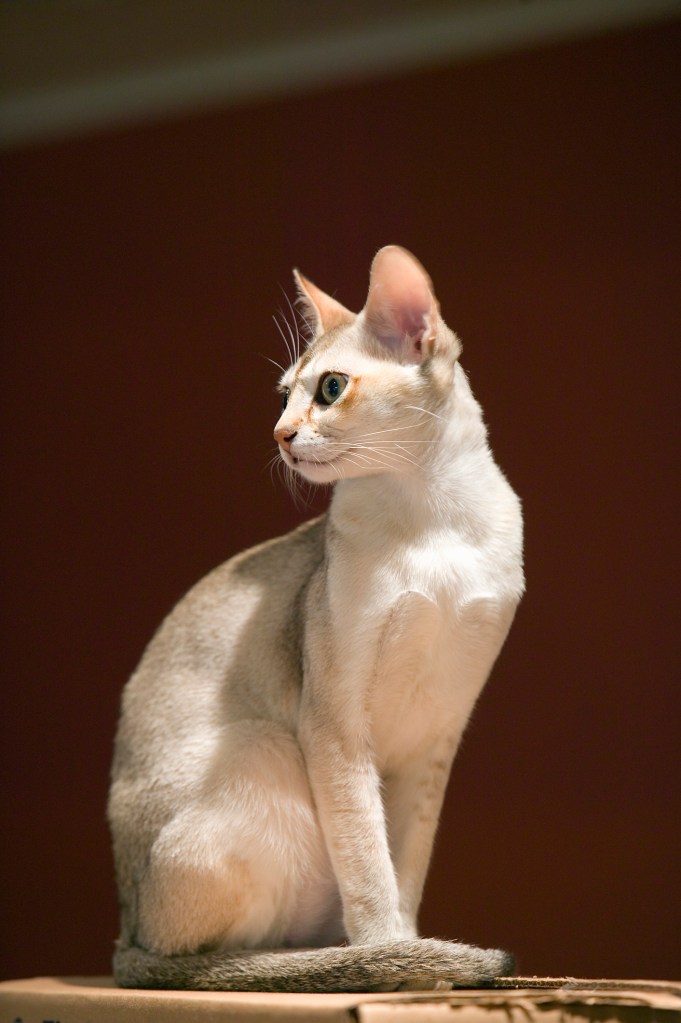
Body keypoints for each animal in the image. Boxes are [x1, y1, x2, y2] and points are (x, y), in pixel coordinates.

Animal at [106, 243, 521, 994]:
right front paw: (393, 954)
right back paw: (324, 962)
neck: (436, 524)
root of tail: (126, 930)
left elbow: (403, 866)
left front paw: (409, 951)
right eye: (284, 395)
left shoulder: (436, 736)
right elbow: (368, 866)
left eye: (329, 389)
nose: (280, 434)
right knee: (204, 959)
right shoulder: (333, 723)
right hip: (264, 745)